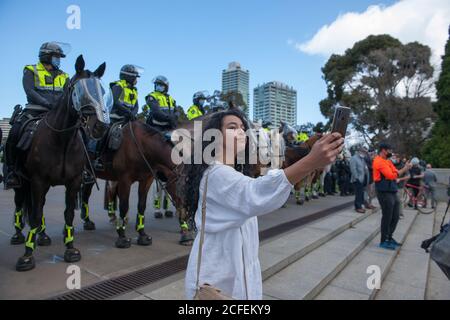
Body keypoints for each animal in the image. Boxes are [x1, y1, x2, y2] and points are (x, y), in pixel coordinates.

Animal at [14, 54, 109, 270]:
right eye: (79, 91)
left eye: (102, 91)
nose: (99, 126)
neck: (62, 140)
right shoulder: (38, 181)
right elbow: (34, 215)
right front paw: (27, 255)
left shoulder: (73, 182)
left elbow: (68, 214)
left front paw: (70, 249)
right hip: (21, 182)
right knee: (20, 205)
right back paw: (18, 235)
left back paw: (42, 236)